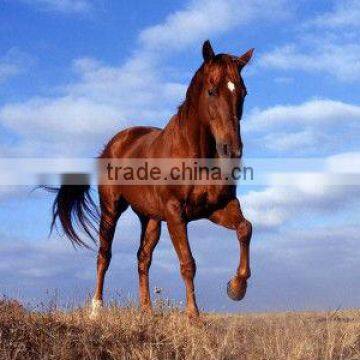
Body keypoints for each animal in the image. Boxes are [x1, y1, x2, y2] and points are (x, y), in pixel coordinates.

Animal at [50, 40, 253, 320]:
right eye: (212, 91)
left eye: (243, 93)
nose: (232, 150)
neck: (192, 152)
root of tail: (113, 144)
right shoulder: (176, 214)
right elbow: (188, 263)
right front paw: (194, 317)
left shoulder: (217, 207)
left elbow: (245, 228)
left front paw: (236, 287)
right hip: (111, 209)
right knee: (104, 255)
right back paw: (96, 309)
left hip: (150, 218)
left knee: (142, 258)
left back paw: (146, 310)